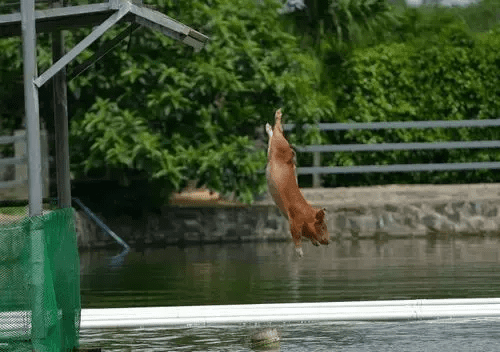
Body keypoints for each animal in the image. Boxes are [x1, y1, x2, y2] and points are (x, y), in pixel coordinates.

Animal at [264, 108, 330, 256]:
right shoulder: (293, 220)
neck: (307, 216)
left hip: (275, 148)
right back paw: (277, 114)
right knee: (277, 131)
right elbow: (295, 235)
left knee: (275, 133)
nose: (329, 241)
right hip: (279, 145)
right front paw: (300, 253)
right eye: (323, 226)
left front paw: (315, 244)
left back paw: (269, 124)